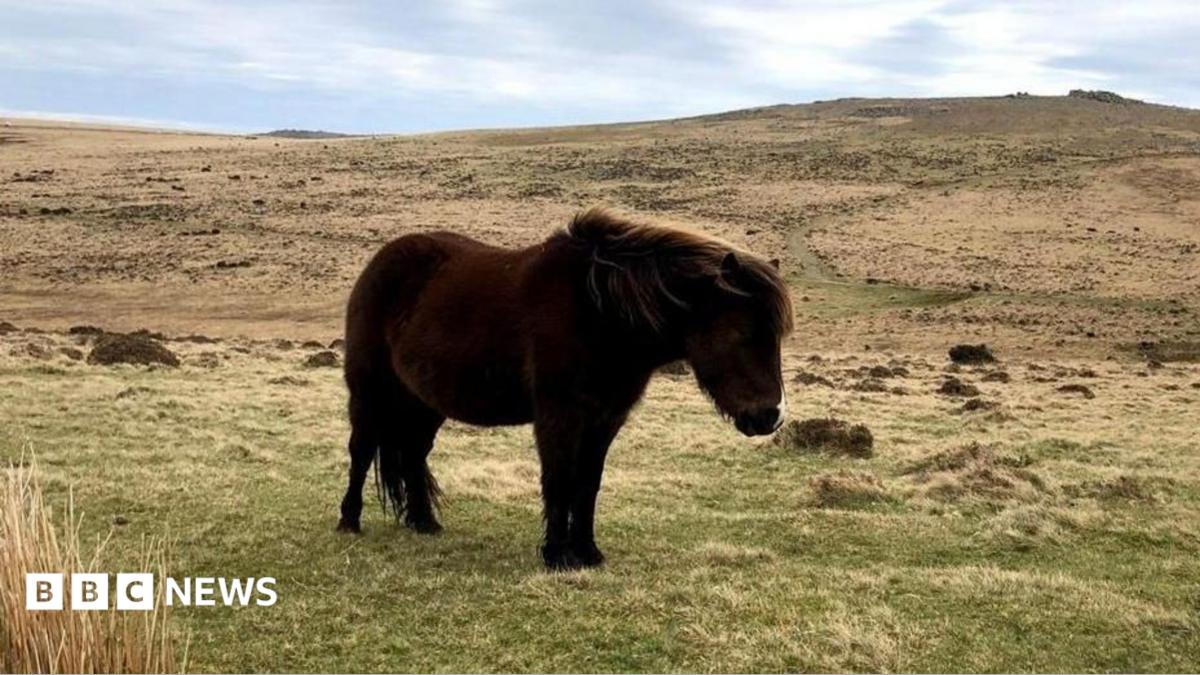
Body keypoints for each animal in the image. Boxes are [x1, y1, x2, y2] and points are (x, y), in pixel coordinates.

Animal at [336, 208, 793, 569]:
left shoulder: (605, 419)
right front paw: (557, 554)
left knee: (413, 454)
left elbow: (587, 484)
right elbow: (558, 479)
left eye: (777, 338)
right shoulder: (559, 415)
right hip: (369, 390)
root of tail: (379, 263)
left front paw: (587, 552)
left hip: (424, 402)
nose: (771, 415)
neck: (598, 312)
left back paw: (424, 522)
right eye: (741, 334)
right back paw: (349, 522)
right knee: (361, 450)